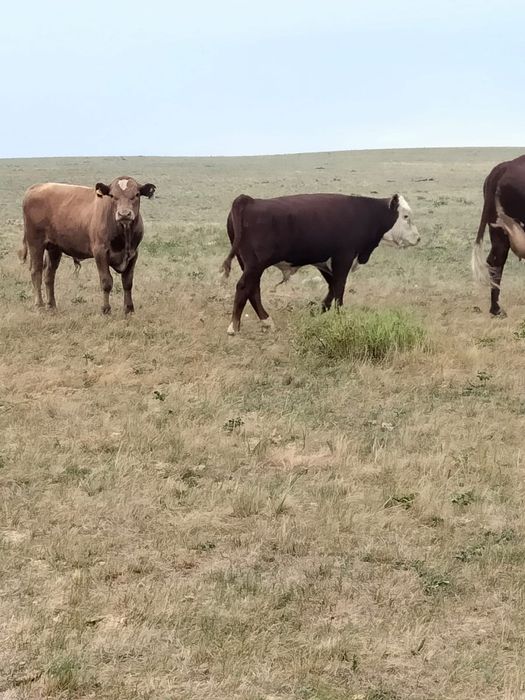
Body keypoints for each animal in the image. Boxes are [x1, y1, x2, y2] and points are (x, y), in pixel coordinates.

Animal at [20, 177, 156, 314]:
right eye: (112, 195)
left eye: (136, 194)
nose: (124, 214)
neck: (124, 234)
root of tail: (36, 187)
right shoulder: (100, 252)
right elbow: (106, 281)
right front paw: (106, 309)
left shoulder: (133, 254)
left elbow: (127, 282)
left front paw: (129, 309)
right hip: (35, 243)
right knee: (36, 272)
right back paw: (39, 304)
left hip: (54, 248)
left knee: (49, 274)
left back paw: (52, 305)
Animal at [221, 192, 420, 335]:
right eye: (405, 216)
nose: (418, 238)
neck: (364, 214)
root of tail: (248, 201)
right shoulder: (343, 258)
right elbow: (339, 289)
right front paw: (339, 318)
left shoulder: (325, 262)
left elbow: (332, 287)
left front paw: (319, 311)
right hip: (255, 265)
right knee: (244, 286)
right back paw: (234, 327)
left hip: (248, 264)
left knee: (253, 289)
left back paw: (266, 322)